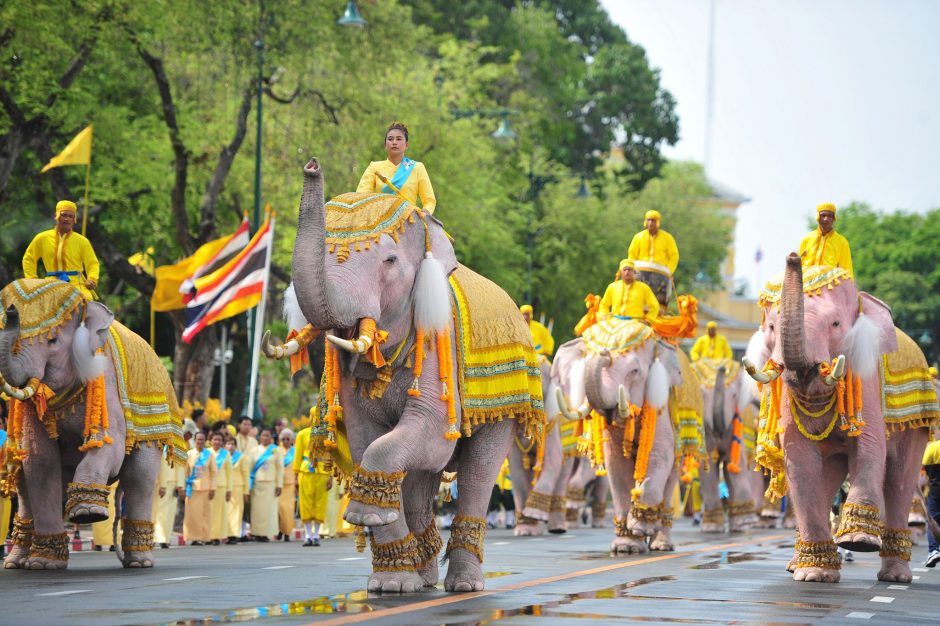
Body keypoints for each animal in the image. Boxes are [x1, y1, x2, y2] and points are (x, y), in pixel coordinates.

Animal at [0, 276, 185, 568]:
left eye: (52, 340)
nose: (11, 311)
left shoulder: (105, 381)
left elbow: (109, 444)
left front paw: (88, 513)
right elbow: (39, 461)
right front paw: (44, 564)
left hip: (153, 424)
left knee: (139, 477)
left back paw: (138, 561)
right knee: (22, 483)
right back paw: (16, 562)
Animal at [264, 160, 544, 588]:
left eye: (390, 262)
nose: (311, 166)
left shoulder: (436, 341)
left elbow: (430, 432)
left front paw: (363, 515)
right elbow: (366, 438)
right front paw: (390, 584)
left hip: (510, 401)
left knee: (479, 470)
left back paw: (464, 585)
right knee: (419, 482)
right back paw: (422, 578)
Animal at [556, 320, 688, 552]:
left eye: (634, 370)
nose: (604, 352)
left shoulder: (660, 404)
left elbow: (661, 453)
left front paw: (641, 526)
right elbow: (615, 463)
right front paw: (626, 547)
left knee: (672, 474)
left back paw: (660, 544)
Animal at [692, 356, 760, 532]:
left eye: (735, 395)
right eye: (701, 394)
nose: (721, 368)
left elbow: (734, 464)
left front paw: (745, 523)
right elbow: (708, 464)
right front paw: (710, 528)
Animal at [740, 256, 940, 584]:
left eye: (835, 324)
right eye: (770, 326)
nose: (793, 256)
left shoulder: (865, 376)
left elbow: (870, 446)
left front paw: (859, 542)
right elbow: (800, 460)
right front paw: (813, 575)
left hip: (919, 418)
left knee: (899, 476)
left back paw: (895, 577)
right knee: (830, 473)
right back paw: (802, 565)